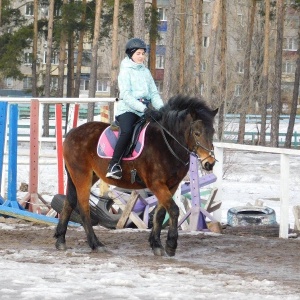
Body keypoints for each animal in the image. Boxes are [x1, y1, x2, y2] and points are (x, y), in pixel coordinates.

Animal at [54, 95, 218, 256]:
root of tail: (72, 133)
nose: (209, 163)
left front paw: (156, 244)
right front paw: (171, 245)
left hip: (84, 175)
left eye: (212, 132)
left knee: (69, 202)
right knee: (83, 208)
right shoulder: (156, 184)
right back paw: (96, 244)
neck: (166, 144)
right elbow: (174, 210)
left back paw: (60, 240)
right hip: (82, 175)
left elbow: (160, 213)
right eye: (197, 133)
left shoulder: (171, 185)